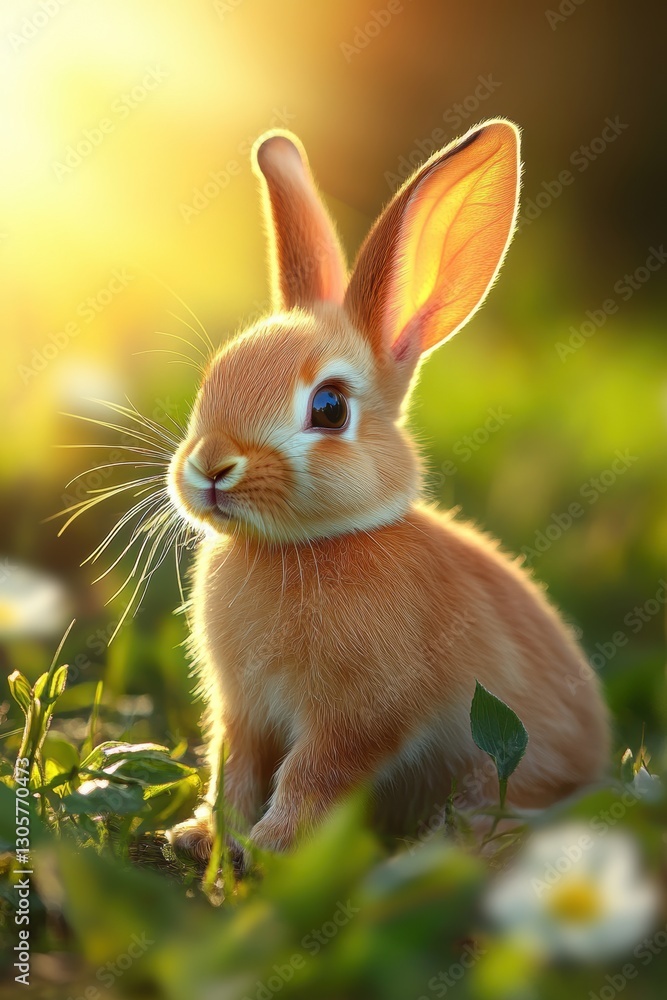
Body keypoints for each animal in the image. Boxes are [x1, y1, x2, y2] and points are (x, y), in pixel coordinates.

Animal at [166, 120, 610, 863]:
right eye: (214, 374)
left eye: (328, 408)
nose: (210, 467)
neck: (302, 546)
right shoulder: (243, 713)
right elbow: (237, 768)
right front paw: (201, 837)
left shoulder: (356, 718)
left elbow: (312, 774)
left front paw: (269, 848)